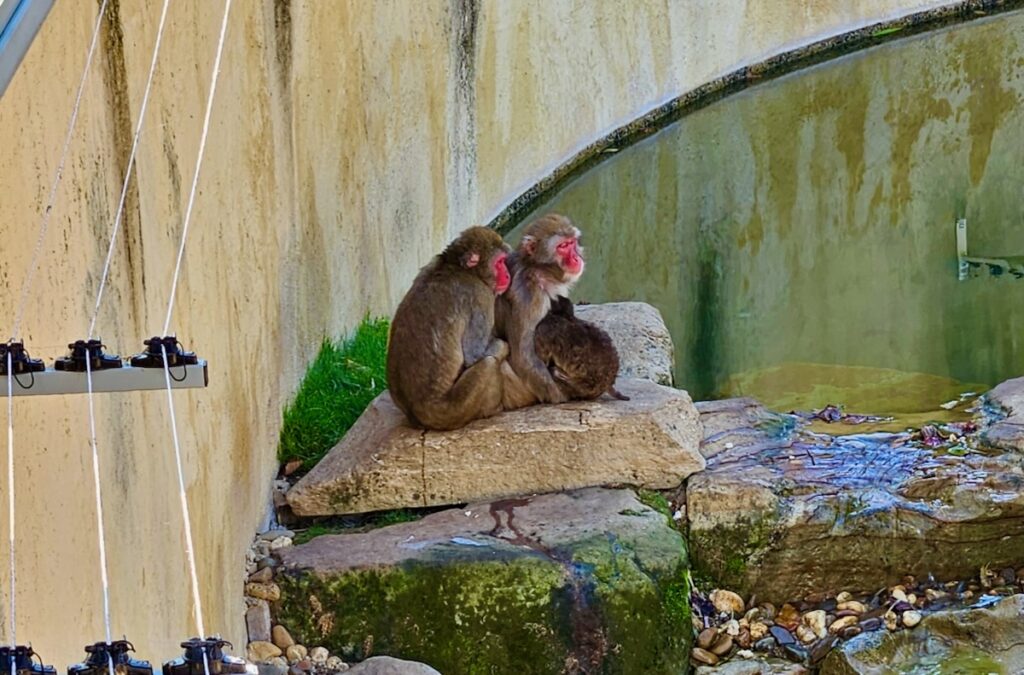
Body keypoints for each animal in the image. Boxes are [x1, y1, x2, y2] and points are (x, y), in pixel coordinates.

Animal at [386, 226, 511, 431]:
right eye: (500, 262)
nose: (507, 275)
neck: (459, 268)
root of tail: (417, 415)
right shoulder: (480, 296)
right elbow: (474, 354)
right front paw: (502, 344)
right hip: (453, 411)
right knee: (488, 363)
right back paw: (493, 409)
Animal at [495, 213, 588, 409]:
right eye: (562, 247)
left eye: (571, 242)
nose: (576, 258)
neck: (538, 269)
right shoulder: (529, 295)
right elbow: (523, 357)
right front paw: (564, 396)